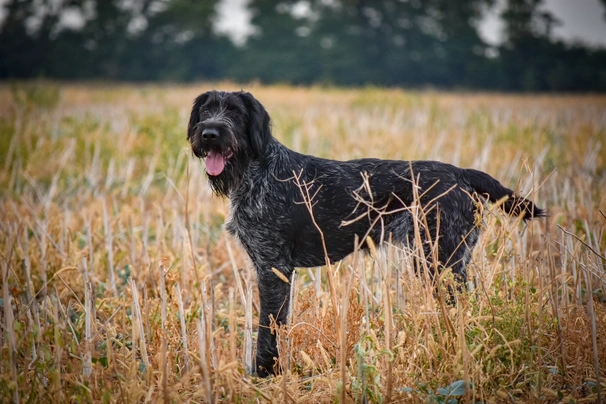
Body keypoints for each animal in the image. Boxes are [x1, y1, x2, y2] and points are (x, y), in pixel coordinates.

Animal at [188, 90, 548, 378]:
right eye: (206, 111)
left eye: (235, 112)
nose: (209, 134)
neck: (255, 171)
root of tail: (460, 173)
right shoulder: (270, 267)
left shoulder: (274, 267)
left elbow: (269, 325)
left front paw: (265, 373)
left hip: (439, 262)